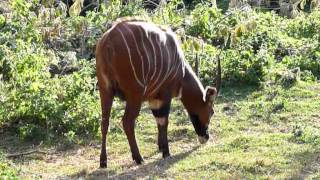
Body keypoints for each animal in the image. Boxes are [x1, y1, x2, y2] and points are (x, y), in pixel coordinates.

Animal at [95, 16, 220, 167]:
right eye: (211, 111)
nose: (205, 137)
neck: (182, 71)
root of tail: (108, 41)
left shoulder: (153, 97)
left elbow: (158, 119)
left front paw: (160, 147)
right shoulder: (164, 94)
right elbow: (163, 120)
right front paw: (166, 152)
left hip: (105, 90)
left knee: (104, 122)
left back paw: (103, 161)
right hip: (134, 95)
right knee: (127, 122)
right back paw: (138, 158)